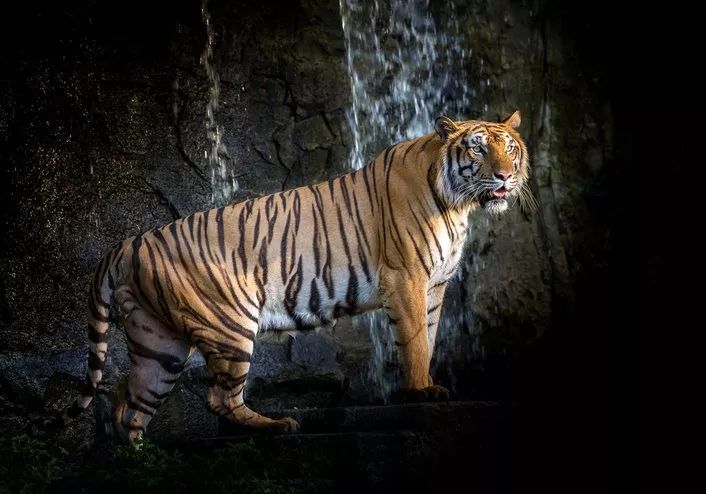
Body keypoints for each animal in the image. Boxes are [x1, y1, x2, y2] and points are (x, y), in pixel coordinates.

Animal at [60, 111, 528, 444]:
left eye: (509, 148)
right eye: (478, 150)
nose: (505, 176)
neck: (458, 203)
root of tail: (129, 243)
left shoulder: (434, 286)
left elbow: (428, 339)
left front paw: (428, 384)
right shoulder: (407, 278)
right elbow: (415, 342)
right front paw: (420, 391)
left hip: (159, 343)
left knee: (129, 409)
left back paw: (139, 461)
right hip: (228, 325)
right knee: (219, 398)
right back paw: (277, 425)